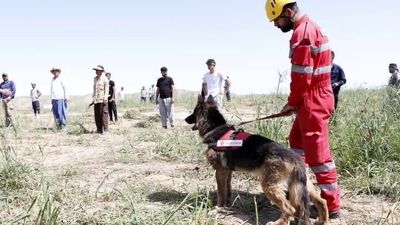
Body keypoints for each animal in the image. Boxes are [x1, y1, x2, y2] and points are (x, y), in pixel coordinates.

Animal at [185, 96, 328, 225]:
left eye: (194, 112)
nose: (186, 119)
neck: (215, 128)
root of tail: (295, 158)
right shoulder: (227, 172)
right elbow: (227, 190)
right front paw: (227, 206)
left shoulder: (220, 171)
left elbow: (221, 192)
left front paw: (218, 209)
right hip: (303, 186)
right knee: (322, 201)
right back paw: (323, 221)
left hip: (270, 186)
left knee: (290, 208)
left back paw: (277, 223)